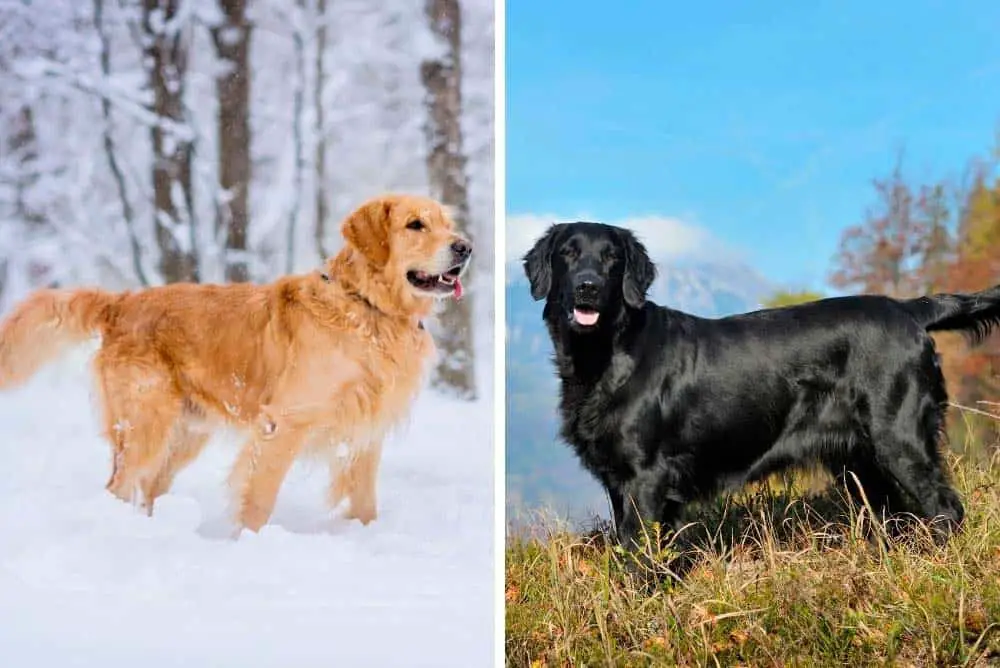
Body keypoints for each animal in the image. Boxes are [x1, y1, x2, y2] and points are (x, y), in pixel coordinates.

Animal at [524, 222, 1000, 556]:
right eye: (568, 253)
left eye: (611, 258)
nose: (587, 286)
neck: (606, 353)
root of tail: (908, 309)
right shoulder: (619, 481)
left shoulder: (646, 477)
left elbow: (641, 556)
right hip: (860, 462)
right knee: (896, 516)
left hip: (900, 439)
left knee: (945, 508)